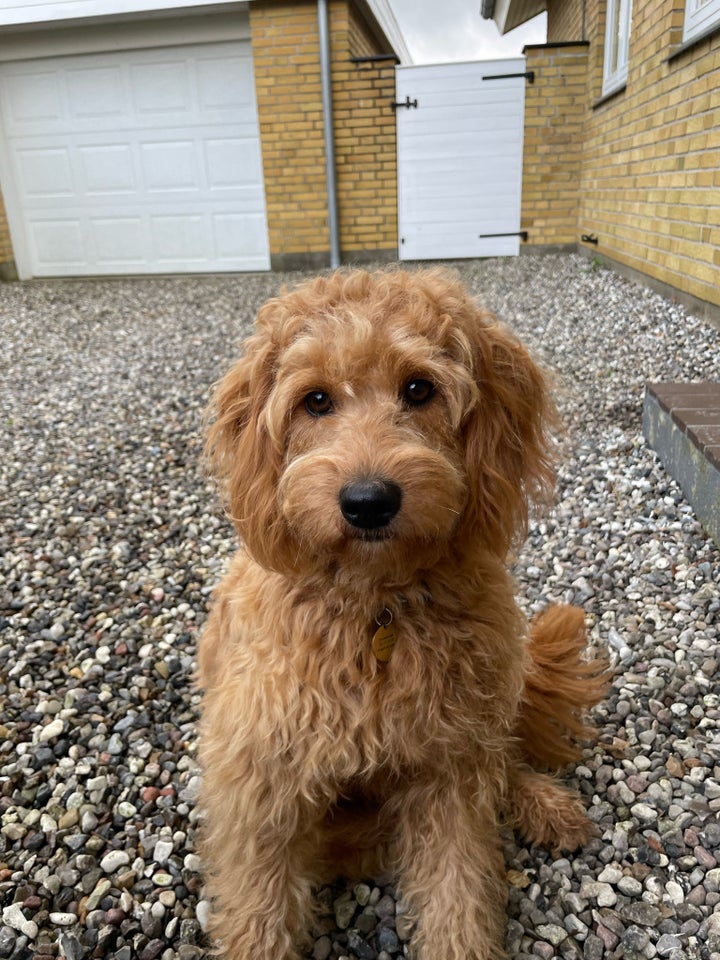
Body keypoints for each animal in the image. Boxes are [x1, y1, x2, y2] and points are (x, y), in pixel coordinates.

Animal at [198, 268, 608, 960]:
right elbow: (260, 904)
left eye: (419, 388)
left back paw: (545, 805)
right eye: (315, 401)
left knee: (502, 759)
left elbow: (458, 889)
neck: (376, 611)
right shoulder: (260, 775)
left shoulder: (448, 769)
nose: (368, 501)